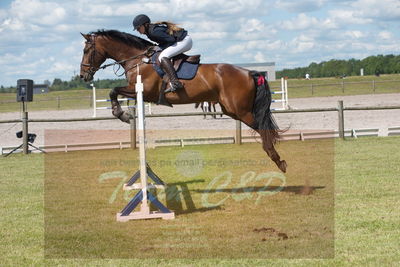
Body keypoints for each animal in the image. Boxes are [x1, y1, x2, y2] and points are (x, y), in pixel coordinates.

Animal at [79, 28, 288, 172]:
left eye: (87, 50)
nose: (83, 75)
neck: (137, 60)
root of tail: (250, 72)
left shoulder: (143, 91)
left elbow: (113, 91)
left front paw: (121, 114)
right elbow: (114, 92)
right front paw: (121, 113)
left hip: (240, 110)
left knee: (262, 127)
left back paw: (277, 159)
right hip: (231, 109)